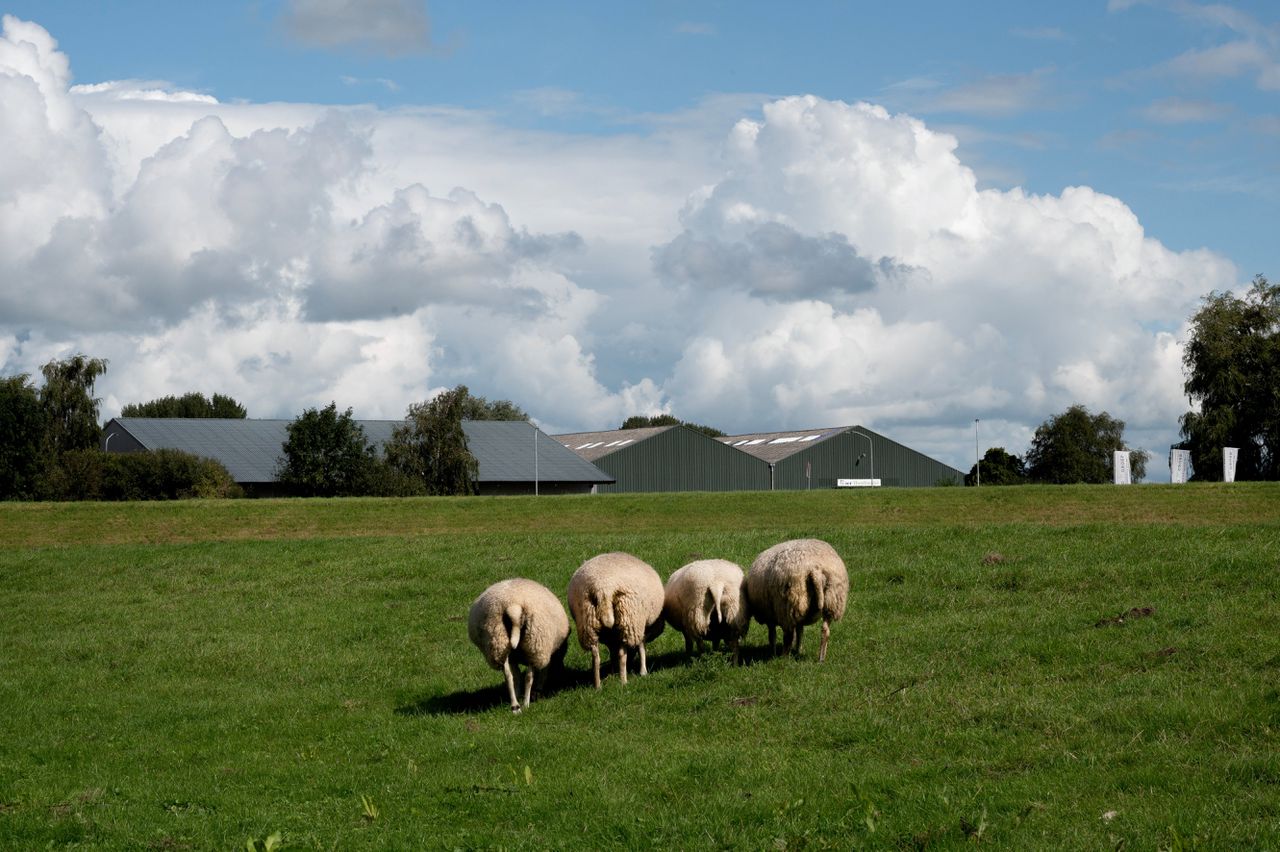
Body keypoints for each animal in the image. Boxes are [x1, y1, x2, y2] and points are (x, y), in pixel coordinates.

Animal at [465, 578, 570, 711]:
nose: (562, 673)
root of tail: (513, 605)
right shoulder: (543, 654)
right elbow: (541, 673)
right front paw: (537, 690)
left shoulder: (513, 658)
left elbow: (516, 676)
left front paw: (519, 693)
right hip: (534, 645)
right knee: (529, 677)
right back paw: (525, 704)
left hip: (499, 643)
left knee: (508, 676)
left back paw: (515, 705)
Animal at [573, 550, 670, 685]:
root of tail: (603, 588)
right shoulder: (640, 626)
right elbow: (641, 647)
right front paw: (643, 672)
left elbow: (613, 654)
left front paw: (613, 671)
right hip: (627, 620)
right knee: (622, 654)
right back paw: (623, 681)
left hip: (587, 622)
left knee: (595, 657)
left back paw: (598, 685)